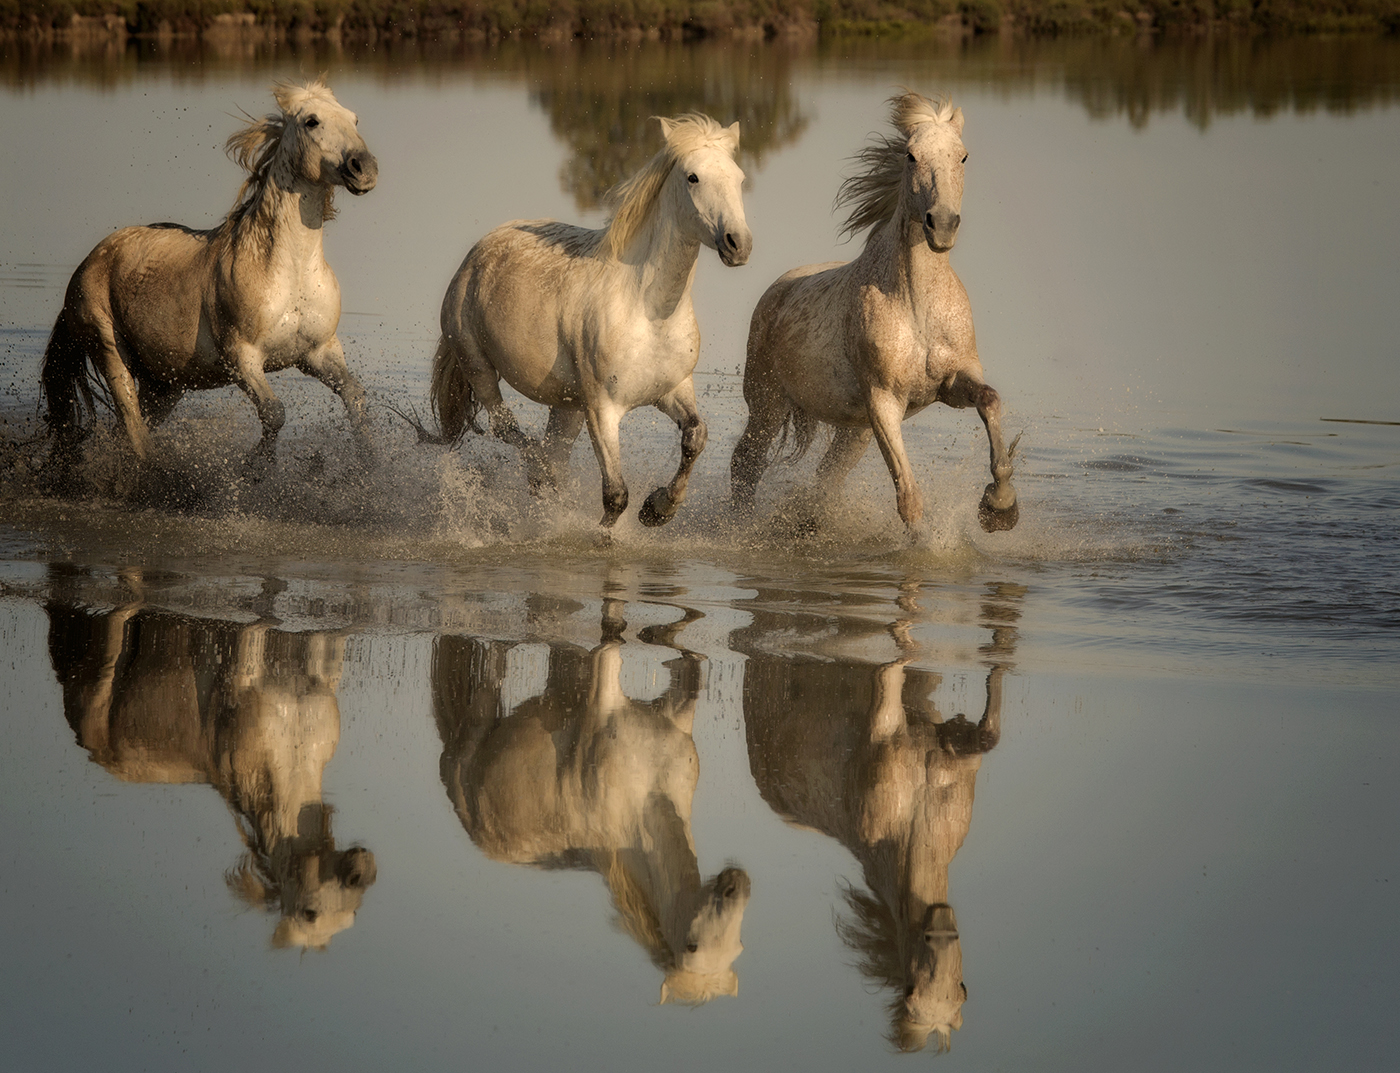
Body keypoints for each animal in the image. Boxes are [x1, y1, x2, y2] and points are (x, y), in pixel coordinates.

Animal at [40, 79, 378, 476]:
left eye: (354, 120)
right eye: (312, 121)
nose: (364, 168)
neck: (287, 272)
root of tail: (89, 261)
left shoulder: (319, 352)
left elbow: (355, 396)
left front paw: (372, 466)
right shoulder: (242, 357)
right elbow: (274, 413)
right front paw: (255, 470)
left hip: (164, 383)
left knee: (125, 433)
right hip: (110, 351)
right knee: (133, 429)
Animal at [425, 115, 756, 532]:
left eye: (739, 178)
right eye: (692, 177)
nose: (738, 244)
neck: (648, 310)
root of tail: (476, 255)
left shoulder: (673, 389)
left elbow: (696, 437)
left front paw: (658, 510)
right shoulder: (602, 408)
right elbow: (615, 496)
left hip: (566, 405)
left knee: (554, 454)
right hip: (479, 368)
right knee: (510, 431)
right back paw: (538, 476)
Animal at [431, 616, 750, 1002]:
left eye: (737, 946)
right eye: (692, 946)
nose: (737, 883)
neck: (645, 787)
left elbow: (691, 662)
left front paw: (661, 633)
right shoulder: (602, 685)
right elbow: (614, 635)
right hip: (478, 721)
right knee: (491, 676)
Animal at [733, 92, 1019, 532]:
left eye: (963, 156)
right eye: (911, 156)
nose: (942, 225)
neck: (916, 306)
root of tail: (775, 291)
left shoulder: (952, 382)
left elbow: (990, 400)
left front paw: (1000, 505)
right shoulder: (884, 402)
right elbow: (909, 498)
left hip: (854, 431)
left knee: (823, 478)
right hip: (768, 403)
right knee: (746, 462)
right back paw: (735, 527)